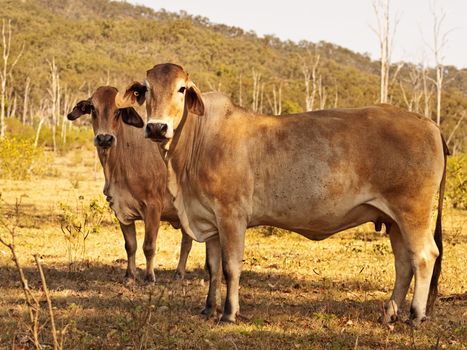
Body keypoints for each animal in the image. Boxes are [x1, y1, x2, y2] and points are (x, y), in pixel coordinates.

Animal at [67, 86, 194, 284]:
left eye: (118, 111)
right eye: (93, 108)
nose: (104, 139)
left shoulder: (153, 207)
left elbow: (148, 246)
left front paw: (149, 277)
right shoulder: (120, 209)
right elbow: (130, 245)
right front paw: (130, 275)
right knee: (188, 242)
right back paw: (179, 274)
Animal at [115, 64, 448, 326]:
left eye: (182, 89)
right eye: (146, 90)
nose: (157, 127)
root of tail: (429, 122)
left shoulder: (232, 216)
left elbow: (230, 267)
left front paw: (228, 313)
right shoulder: (210, 219)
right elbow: (212, 267)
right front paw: (209, 308)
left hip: (413, 212)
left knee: (424, 256)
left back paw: (416, 315)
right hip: (393, 220)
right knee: (403, 263)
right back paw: (390, 312)